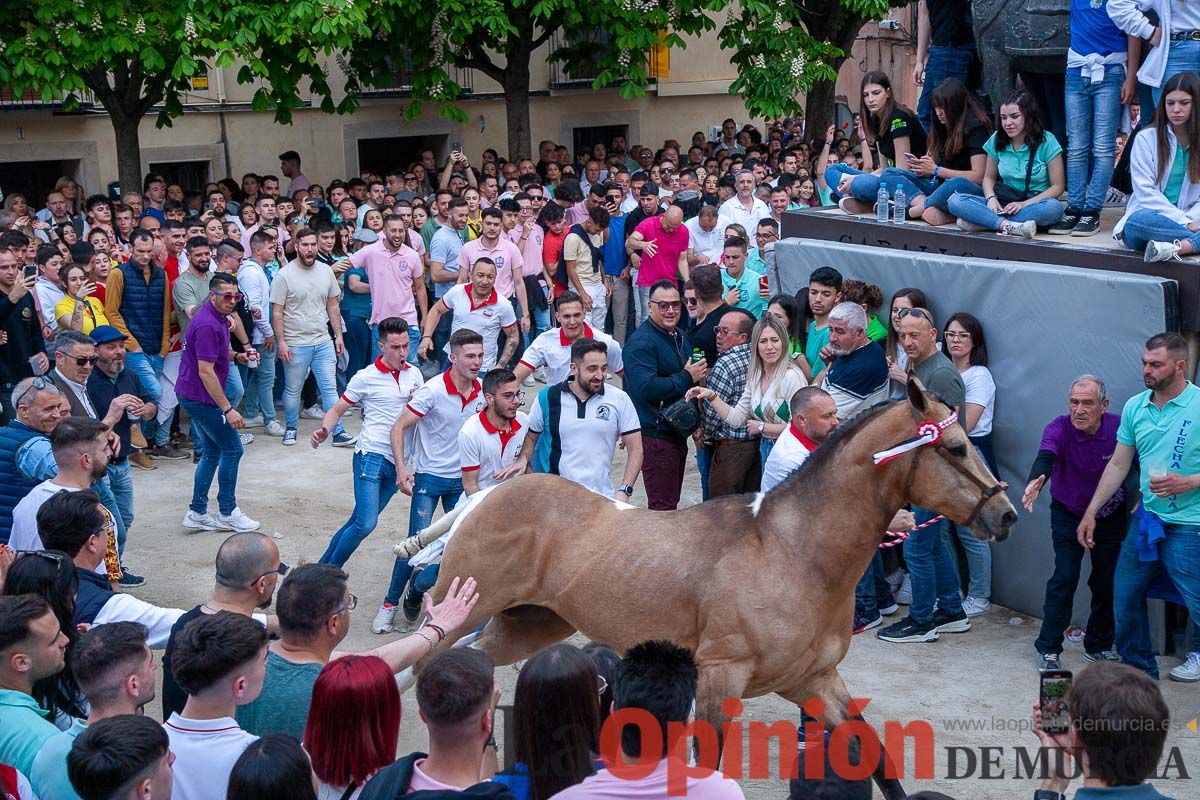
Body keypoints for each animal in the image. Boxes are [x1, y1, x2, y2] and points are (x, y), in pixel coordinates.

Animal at [400, 379, 1012, 796]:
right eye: (957, 448)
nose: (1004, 514)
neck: (791, 552)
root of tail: (487, 495)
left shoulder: (814, 680)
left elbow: (875, 755)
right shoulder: (721, 679)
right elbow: (709, 765)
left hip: (529, 624)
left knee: (469, 660)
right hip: (464, 606)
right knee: (420, 663)